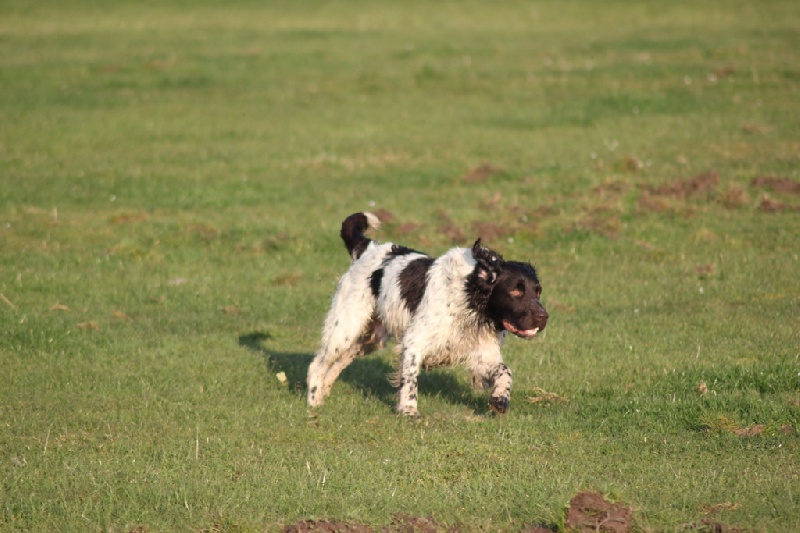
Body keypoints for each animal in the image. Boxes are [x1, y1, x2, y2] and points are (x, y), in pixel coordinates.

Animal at [304, 212, 548, 416]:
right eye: (516, 291)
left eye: (537, 291)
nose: (544, 317)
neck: (469, 297)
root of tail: (368, 247)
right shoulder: (414, 343)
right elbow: (410, 380)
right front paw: (409, 410)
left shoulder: (482, 354)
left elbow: (505, 372)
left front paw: (500, 398)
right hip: (345, 327)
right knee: (318, 364)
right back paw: (314, 402)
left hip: (369, 338)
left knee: (336, 364)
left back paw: (324, 393)